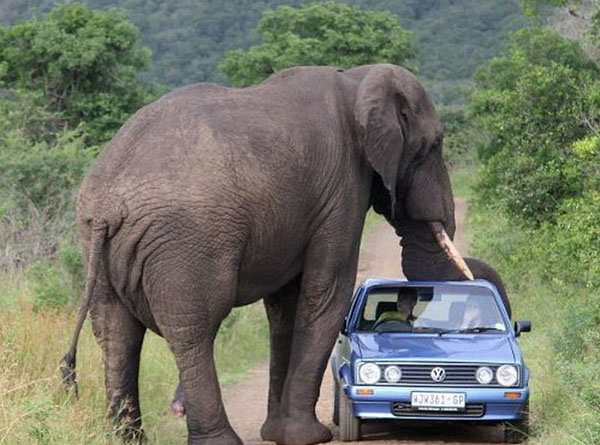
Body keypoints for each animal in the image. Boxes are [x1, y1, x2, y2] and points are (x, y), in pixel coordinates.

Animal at [61, 63, 508, 444]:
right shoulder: (341, 190)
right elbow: (327, 292)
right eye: (433, 145)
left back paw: (127, 439)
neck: (355, 80)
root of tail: (109, 204)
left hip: (95, 241)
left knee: (116, 332)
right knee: (194, 329)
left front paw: (278, 432)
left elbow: (285, 308)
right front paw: (308, 437)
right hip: (187, 241)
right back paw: (220, 440)